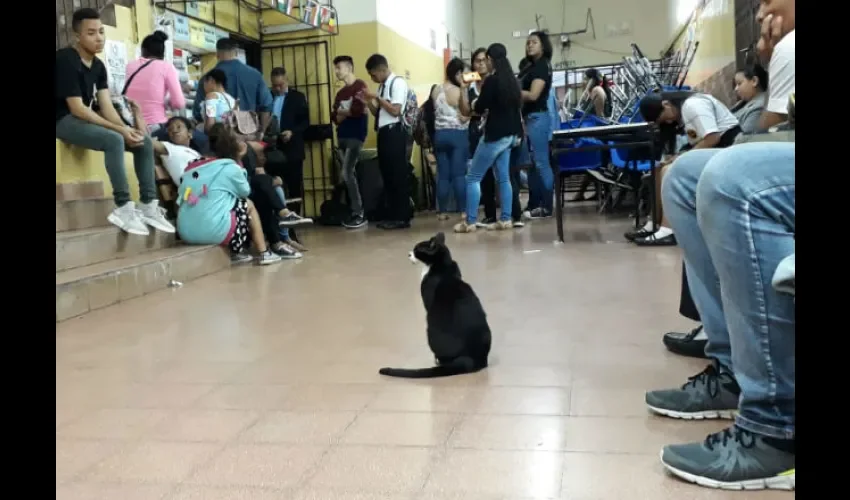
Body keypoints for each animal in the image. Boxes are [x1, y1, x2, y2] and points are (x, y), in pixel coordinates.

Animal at [378, 232, 490, 376]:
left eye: (416, 249)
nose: (408, 254)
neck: (442, 266)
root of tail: (472, 360)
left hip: (430, 330)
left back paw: (437, 360)